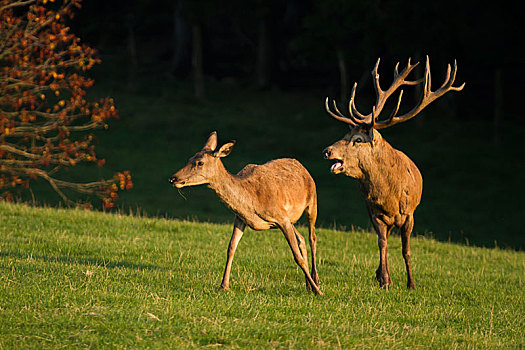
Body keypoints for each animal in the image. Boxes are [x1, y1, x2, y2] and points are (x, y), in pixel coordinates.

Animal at [170, 133, 322, 294]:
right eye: (189, 159)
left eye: (200, 163)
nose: (173, 178)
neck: (251, 203)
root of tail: (303, 167)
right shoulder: (240, 218)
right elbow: (231, 248)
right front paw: (224, 285)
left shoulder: (282, 217)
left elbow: (297, 257)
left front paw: (319, 291)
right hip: (292, 219)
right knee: (301, 239)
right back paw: (309, 285)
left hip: (312, 202)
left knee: (312, 237)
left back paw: (316, 282)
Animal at [324, 56, 462, 288]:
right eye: (345, 134)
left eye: (357, 140)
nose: (327, 151)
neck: (389, 194)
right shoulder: (376, 213)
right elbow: (382, 244)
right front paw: (385, 281)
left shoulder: (409, 214)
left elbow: (406, 250)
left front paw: (411, 284)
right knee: (385, 240)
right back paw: (380, 274)